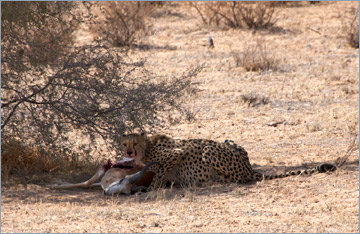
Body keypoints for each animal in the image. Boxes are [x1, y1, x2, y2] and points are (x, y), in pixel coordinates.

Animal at [121, 132, 334, 190]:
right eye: (125, 143)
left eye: (135, 143)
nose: (129, 151)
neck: (147, 147)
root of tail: (249, 167)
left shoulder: (177, 152)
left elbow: (160, 169)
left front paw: (152, 188)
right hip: (228, 142)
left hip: (209, 151)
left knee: (238, 178)